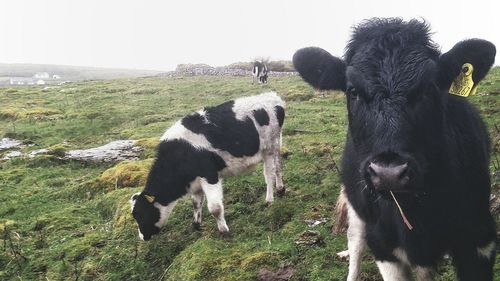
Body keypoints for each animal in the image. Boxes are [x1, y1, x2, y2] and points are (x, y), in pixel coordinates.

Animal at [129, 92, 286, 241]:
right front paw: (196, 224)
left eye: (140, 214)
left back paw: (269, 199)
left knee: (269, 174)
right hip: (275, 144)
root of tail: (272, 96)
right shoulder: (196, 182)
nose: (142, 237)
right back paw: (280, 189)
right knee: (278, 167)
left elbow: (214, 208)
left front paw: (224, 231)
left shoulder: (210, 175)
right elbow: (196, 203)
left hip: (269, 147)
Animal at [292, 18, 496, 278]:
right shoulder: (384, 247)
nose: (388, 173)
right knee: (355, 244)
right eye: (353, 91)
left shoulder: (479, 240)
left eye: (429, 88)